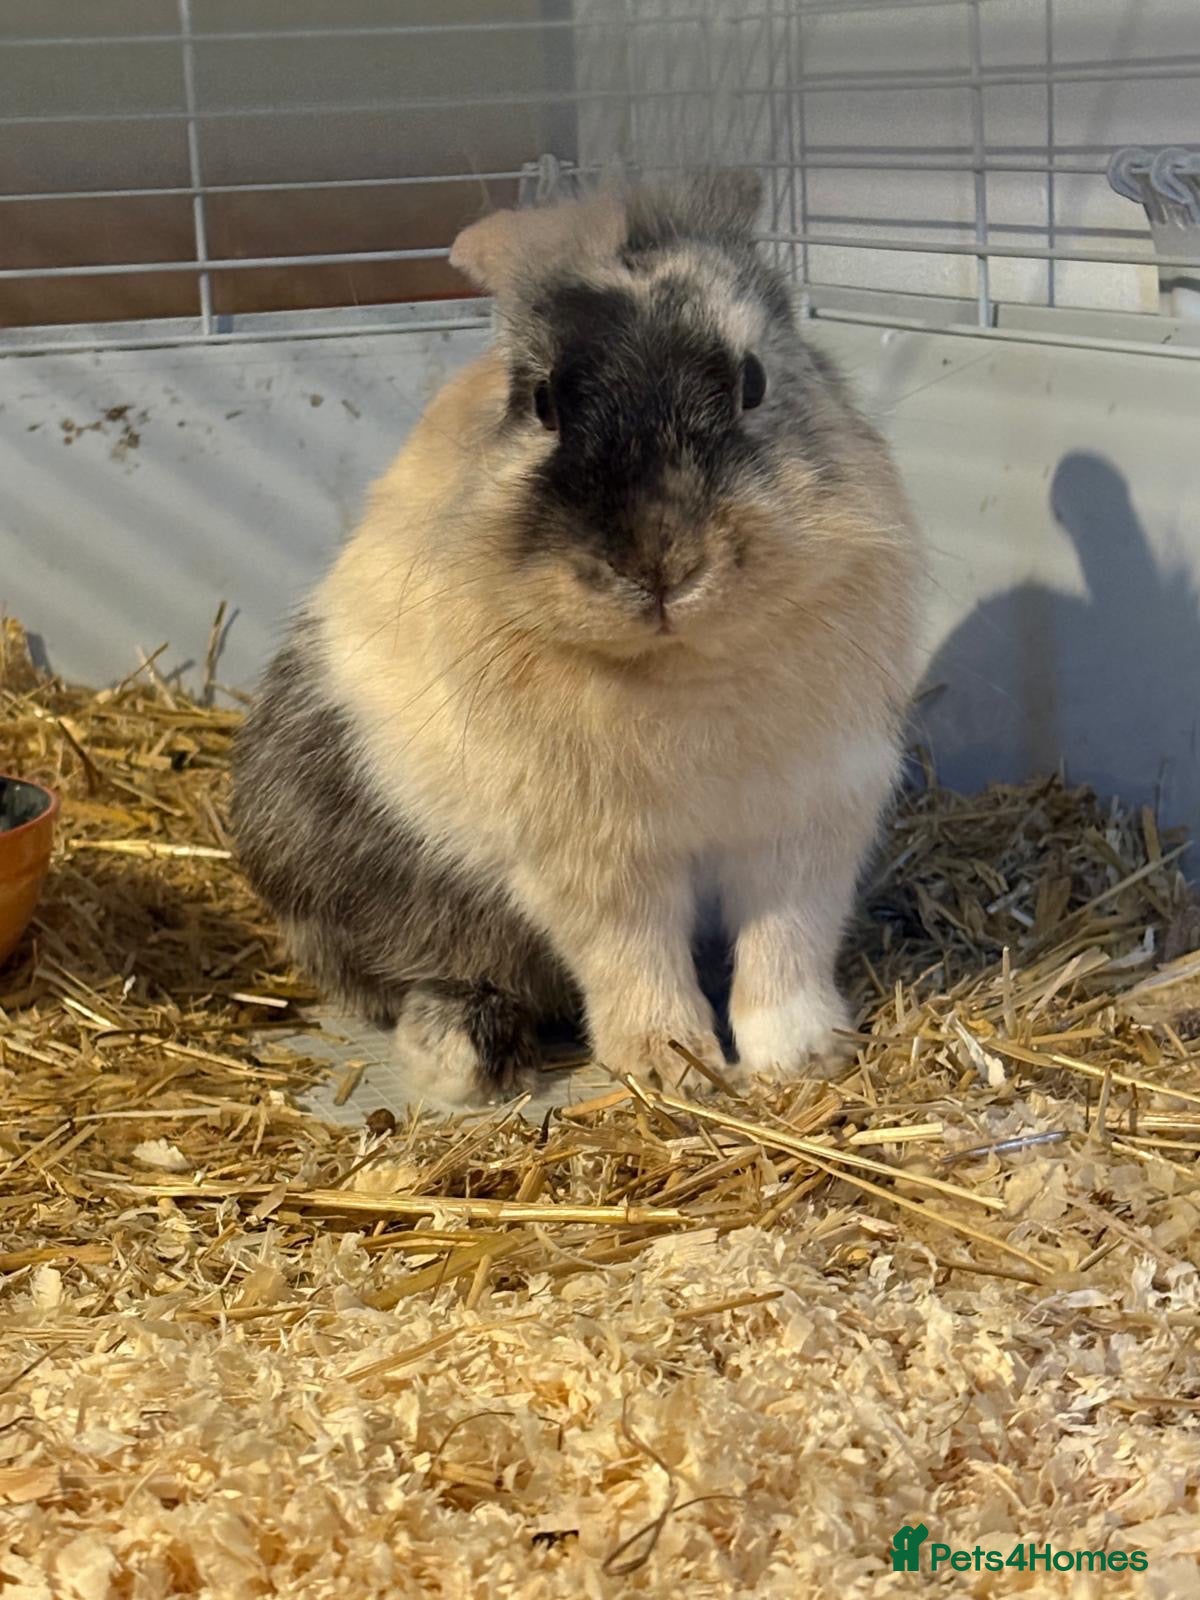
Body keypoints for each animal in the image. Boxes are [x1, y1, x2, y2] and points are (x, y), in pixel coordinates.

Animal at [231, 171, 921, 1108]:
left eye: (752, 382)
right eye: (543, 403)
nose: (660, 560)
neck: (681, 672)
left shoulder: (805, 828)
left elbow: (783, 950)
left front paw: (800, 1058)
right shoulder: (599, 861)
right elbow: (634, 962)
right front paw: (671, 1068)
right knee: (434, 971)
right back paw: (463, 1052)